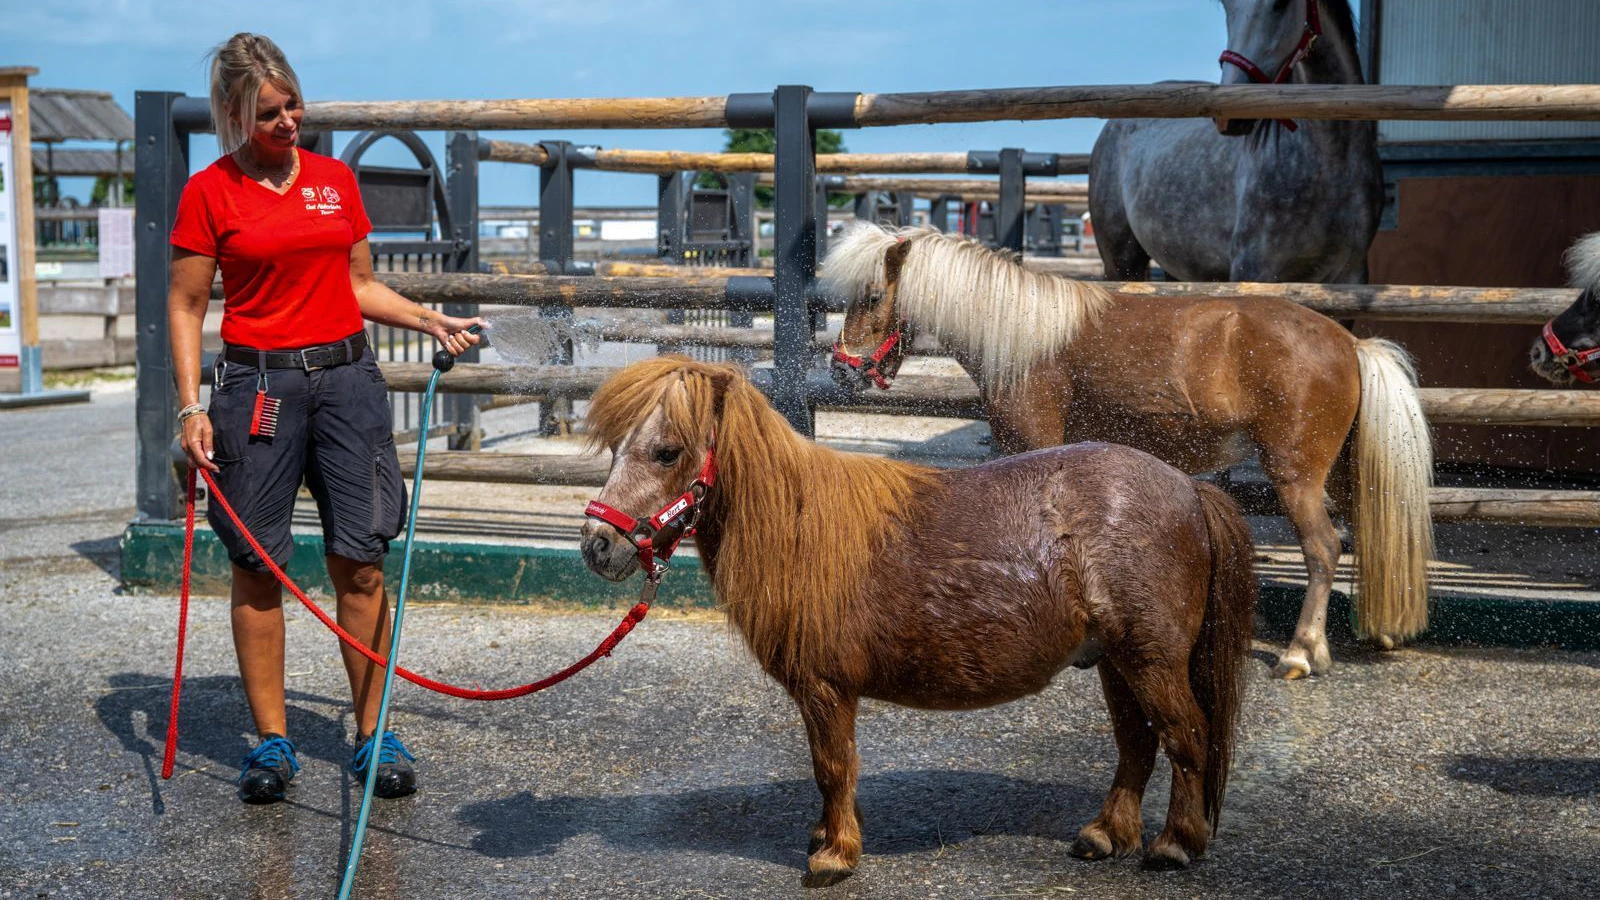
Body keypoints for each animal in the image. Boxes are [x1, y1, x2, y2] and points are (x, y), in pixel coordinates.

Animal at [579, 356, 1256, 885]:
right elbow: (833, 770)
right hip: (1117, 662)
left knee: (1186, 736)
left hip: (1150, 660)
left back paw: (1175, 845)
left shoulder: (826, 689)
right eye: (615, 448)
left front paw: (834, 856)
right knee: (1138, 741)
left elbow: (833, 766)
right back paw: (1106, 835)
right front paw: (827, 837)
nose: (597, 547)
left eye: (666, 451)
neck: (801, 528)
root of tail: (1189, 489)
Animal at [825, 223, 1434, 680]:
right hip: (1344, 476)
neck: (1023, 340)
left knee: (1324, 549)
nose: (841, 369)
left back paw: (1302, 652)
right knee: (1369, 533)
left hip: (1297, 477)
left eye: (873, 297)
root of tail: (1349, 342)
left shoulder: (1036, 447)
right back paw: (1377, 629)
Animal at [1088, 0, 1382, 283]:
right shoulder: (1254, 269)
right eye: (1226, 5)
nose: (1227, 114)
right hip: (1121, 261)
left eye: (1281, 3)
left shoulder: (1351, 273)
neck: (1330, 161)